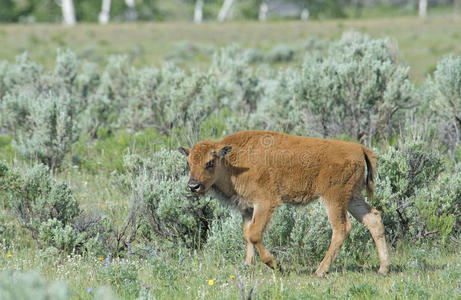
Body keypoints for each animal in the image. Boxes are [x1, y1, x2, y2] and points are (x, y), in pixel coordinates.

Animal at [178, 130, 390, 276]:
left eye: (210, 162)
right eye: (188, 163)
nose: (193, 186)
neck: (233, 161)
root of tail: (359, 149)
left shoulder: (266, 202)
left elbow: (254, 234)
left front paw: (275, 264)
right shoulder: (247, 209)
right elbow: (247, 235)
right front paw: (247, 265)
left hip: (334, 199)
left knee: (341, 228)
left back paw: (320, 271)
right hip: (353, 198)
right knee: (373, 219)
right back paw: (383, 269)